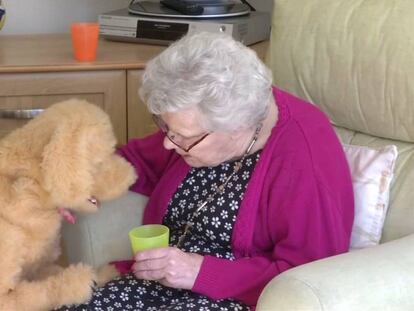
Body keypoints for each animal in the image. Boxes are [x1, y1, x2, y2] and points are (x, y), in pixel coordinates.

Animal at [0, 100, 137, 311]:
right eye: (102, 159)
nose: (133, 175)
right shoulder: (6, 296)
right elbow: (39, 292)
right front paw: (82, 280)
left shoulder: (39, 267)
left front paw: (106, 273)